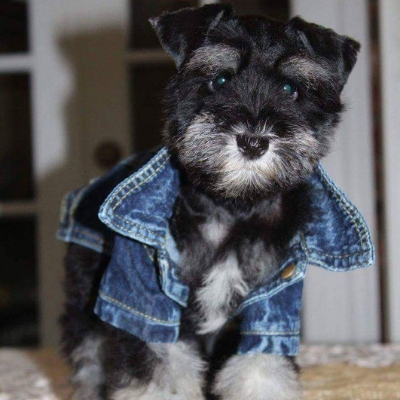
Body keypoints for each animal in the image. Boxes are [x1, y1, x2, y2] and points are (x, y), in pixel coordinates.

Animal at [57, 3, 374, 400]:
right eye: (219, 80)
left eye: (291, 89)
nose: (253, 141)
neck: (232, 204)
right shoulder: (143, 299)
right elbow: (157, 370)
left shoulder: (272, 301)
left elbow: (260, 368)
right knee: (89, 356)